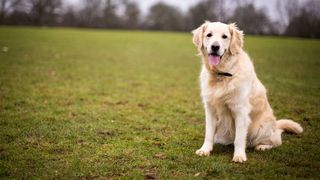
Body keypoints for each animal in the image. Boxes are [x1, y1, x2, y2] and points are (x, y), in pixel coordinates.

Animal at [191, 21, 304, 163]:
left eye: (224, 36)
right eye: (209, 35)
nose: (215, 47)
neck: (222, 74)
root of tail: (275, 126)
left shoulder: (240, 110)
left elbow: (239, 138)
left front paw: (239, 156)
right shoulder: (210, 109)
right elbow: (209, 133)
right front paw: (205, 150)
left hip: (261, 128)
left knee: (276, 141)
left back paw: (262, 146)